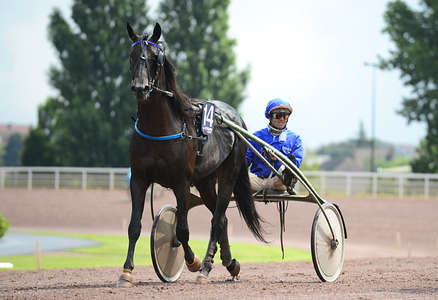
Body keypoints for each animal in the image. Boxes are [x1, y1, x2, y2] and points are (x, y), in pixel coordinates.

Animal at [118, 22, 266, 284]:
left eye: (155, 58)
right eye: (132, 55)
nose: (140, 87)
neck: (159, 128)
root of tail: (236, 118)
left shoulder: (181, 181)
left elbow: (182, 230)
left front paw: (193, 261)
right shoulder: (138, 178)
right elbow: (134, 226)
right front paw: (126, 271)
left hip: (227, 175)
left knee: (217, 219)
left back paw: (205, 267)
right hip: (205, 181)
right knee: (222, 218)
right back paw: (230, 264)